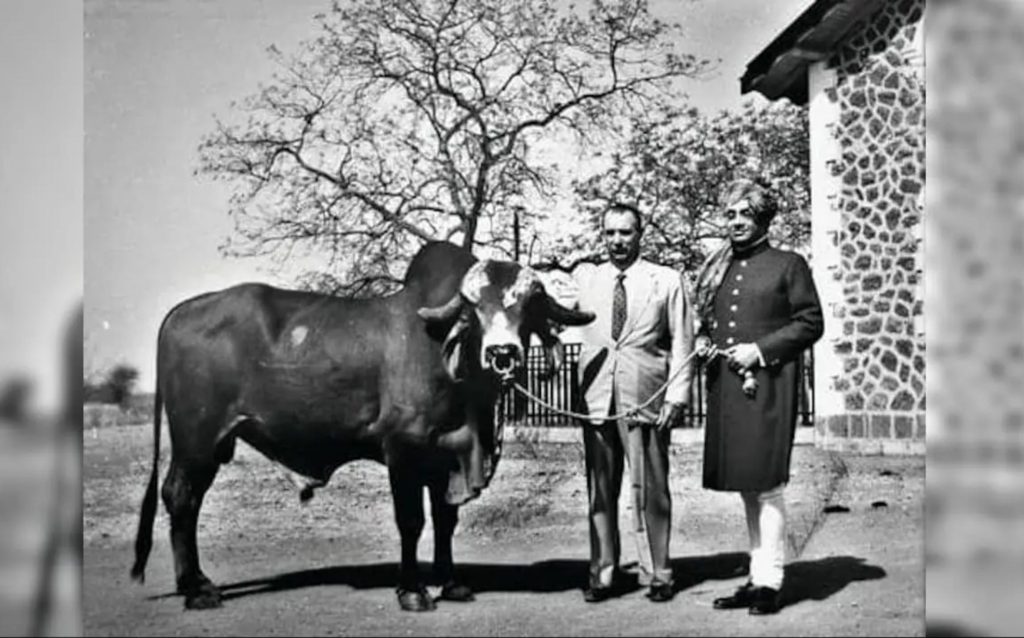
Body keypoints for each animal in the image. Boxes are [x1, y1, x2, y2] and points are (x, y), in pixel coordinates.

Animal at [130, 241, 593, 610]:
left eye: (526, 306)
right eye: (474, 309)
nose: (503, 354)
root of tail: (184, 311)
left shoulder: (445, 456)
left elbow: (445, 521)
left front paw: (451, 583)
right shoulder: (403, 450)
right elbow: (412, 522)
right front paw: (412, 591)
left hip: (208, 443)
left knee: (185, 500)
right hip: (196, 439)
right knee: (181, 498)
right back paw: (196, 589)